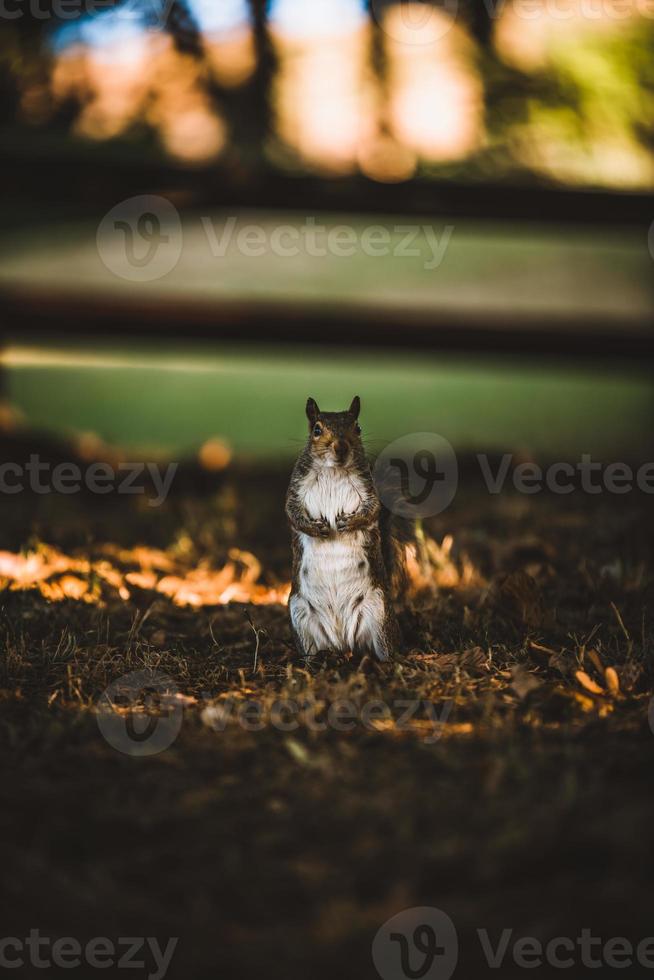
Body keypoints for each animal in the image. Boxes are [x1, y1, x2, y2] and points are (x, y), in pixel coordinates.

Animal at [286, 394, 408, 664]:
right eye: (317, 430)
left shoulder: (367, 488)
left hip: (380, 611)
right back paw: (314, 662)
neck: (334, 470)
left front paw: (348, 523)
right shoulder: (296, 488)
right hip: (299, 614)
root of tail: (343, 642)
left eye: (358, 428)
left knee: (385, 648)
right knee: (311, 650)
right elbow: (292, 513)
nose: (340, 447)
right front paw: (316, 528)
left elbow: (372, 510)